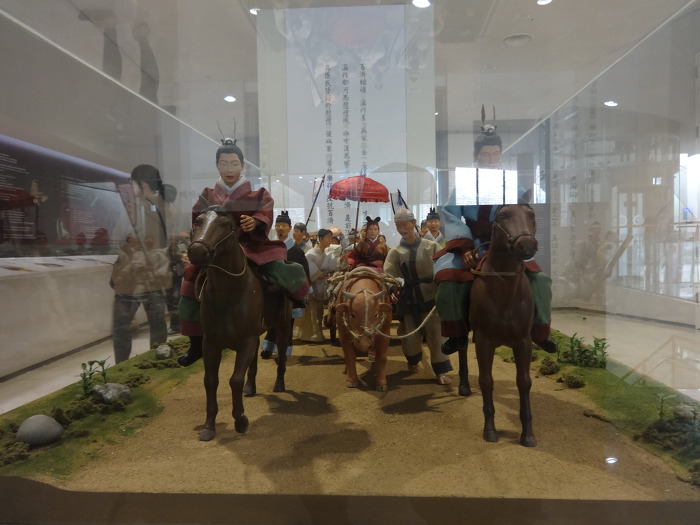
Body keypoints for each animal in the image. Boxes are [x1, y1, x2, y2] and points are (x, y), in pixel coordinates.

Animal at [187, 206, 292, 441]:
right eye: (198, 221)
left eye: (226, 225)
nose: (197, 251)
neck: (228, 296)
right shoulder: (211, 343)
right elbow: (210, 380)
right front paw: (209, 426)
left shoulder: (246, 341)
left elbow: (234, 379)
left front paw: (240, 420)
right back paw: (250, 386)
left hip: (281, 324)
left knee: (281, 351)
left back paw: (279, 383)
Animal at [466, 203, 539, 447]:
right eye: (503, 215)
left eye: (531, 215)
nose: (526, 245)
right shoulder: (483, 342)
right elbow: (486, 381)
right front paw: (490, 430)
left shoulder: (524, 341)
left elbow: (523, 382)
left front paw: (528, 433)